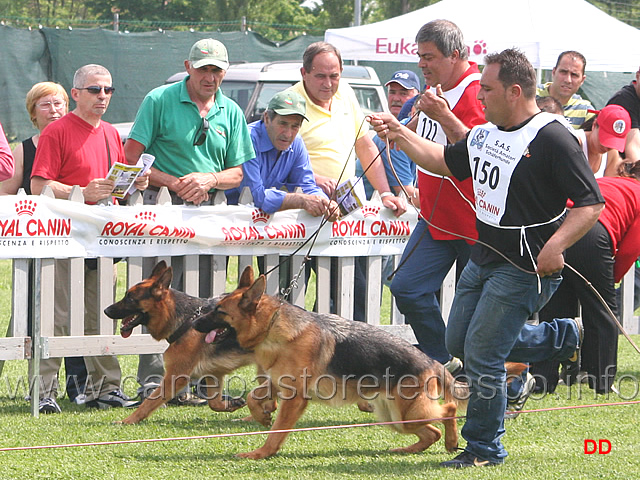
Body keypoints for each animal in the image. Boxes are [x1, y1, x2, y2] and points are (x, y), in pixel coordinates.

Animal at [104, 262, 254, 424]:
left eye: (130, 299)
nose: (106, 310)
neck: (188, 319)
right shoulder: (213, 372)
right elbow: (213, 402)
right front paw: (231, 404)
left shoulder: (175, 376)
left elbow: (149, 402)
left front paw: (128, 420)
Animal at [194, 268, 470, 460]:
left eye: (219, 311)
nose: (194, 323)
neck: (273, 327)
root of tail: (431, 361)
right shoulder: (277, 383)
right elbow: (253, 397)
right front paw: (261, 416)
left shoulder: (294, 398)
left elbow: (277, 431)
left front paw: (262, 453)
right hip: (394, 417)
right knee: (432, 431)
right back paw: (410, 449)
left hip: (408, 413)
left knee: (449, 410)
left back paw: (450, 441)